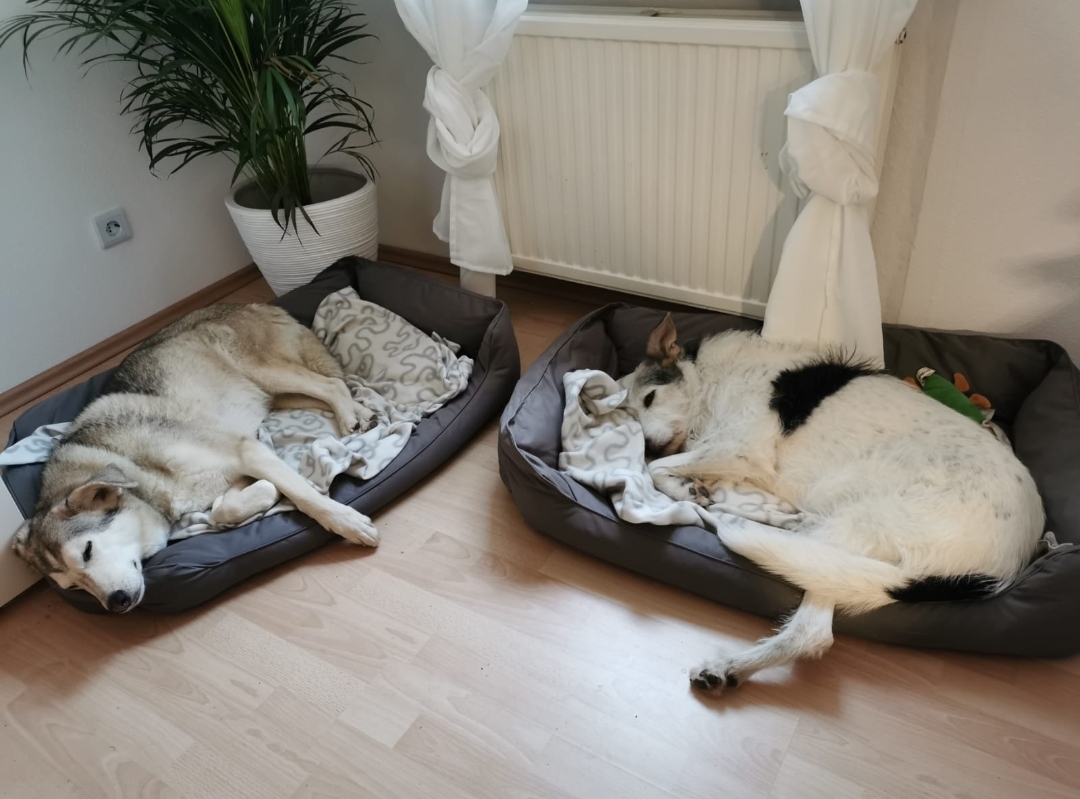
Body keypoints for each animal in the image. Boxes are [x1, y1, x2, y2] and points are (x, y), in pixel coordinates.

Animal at [12, 304, 382, 612]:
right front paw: (267, 493)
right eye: (73, 587)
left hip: (266, 374)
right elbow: (224, 508)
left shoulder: (245, 451)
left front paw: (348, 523)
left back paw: (350, 418)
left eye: (87, 550)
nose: (114, 604)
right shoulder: (238, 465)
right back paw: (362, 414)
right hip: (277, 397)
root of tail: (251, 303)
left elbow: (307, 498)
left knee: (331, 385)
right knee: (332, 390)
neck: (134, 468)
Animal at [624, 314, 1044, 692]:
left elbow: (656, 469)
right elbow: (674, 470)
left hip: (853, 519)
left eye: (651, 397)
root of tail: (1004, 565)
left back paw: (729, 663)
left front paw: (684, 488)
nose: (650, 444)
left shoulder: (743, 449)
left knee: (812, 631)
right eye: (632, 416)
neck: (712, 381)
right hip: (841, 551)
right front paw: (697, 489)